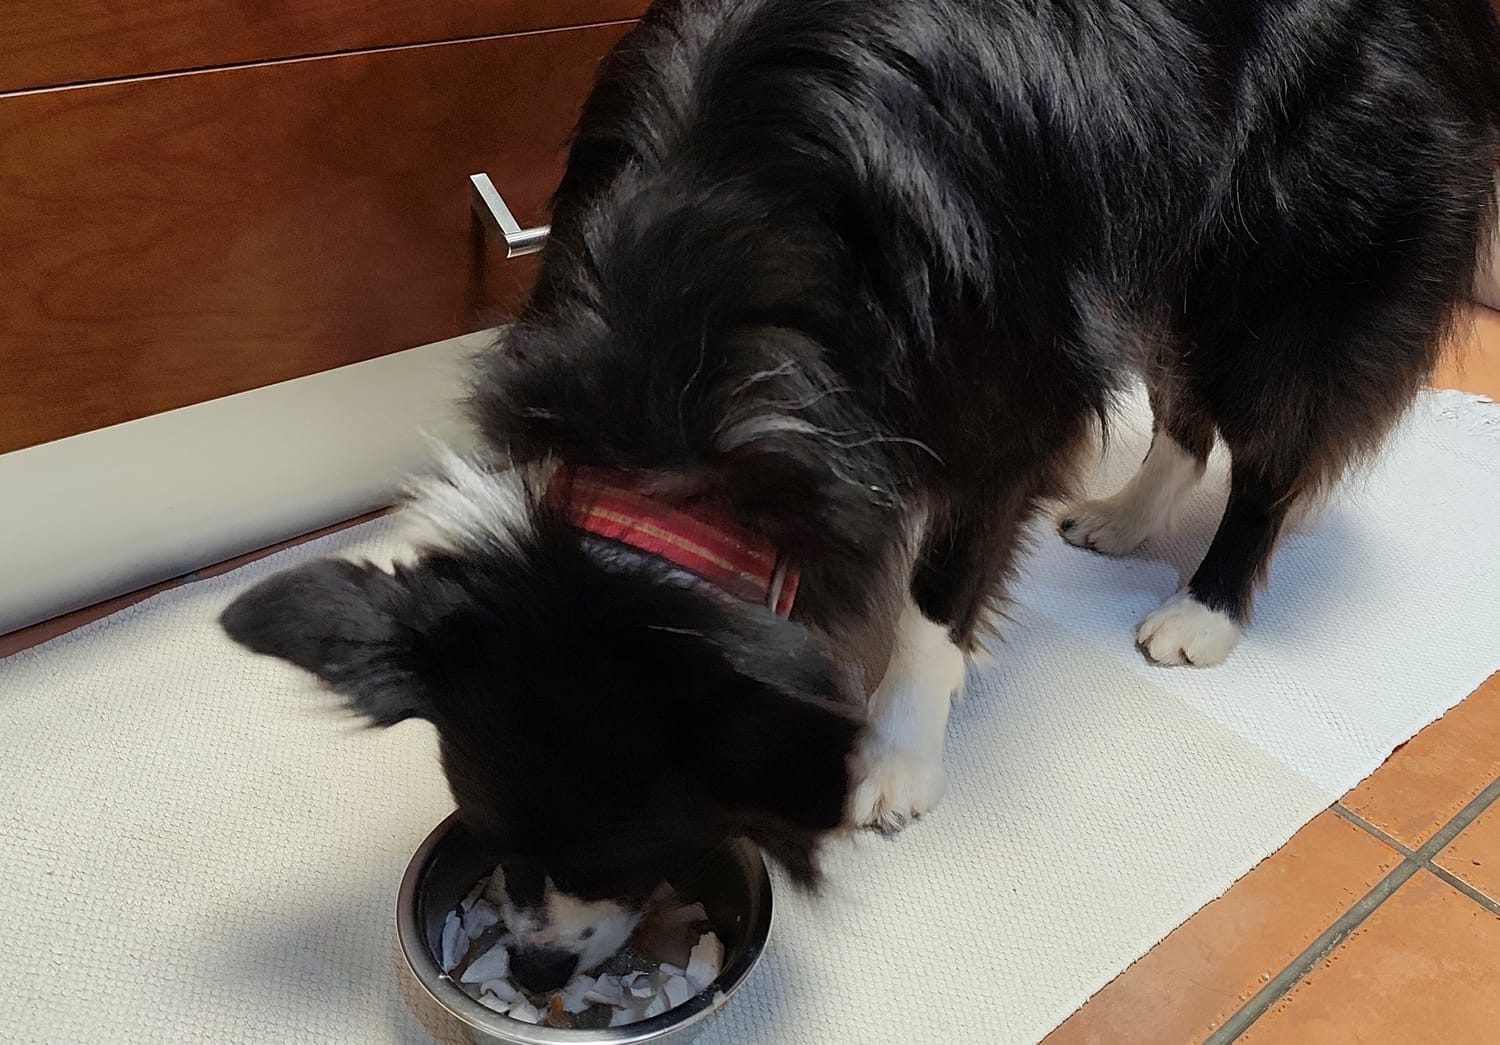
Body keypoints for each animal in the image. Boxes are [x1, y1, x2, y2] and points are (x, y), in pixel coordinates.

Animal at [221, 0, 1500, 991]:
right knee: (1184, 400)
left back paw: (1206, 606)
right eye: (492, 835)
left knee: (1273, 429)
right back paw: (1126, 516)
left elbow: (938, 599)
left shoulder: (1004, 389)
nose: (533, 969)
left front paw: (894, 755)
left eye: (635, 846)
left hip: (1294, 235)